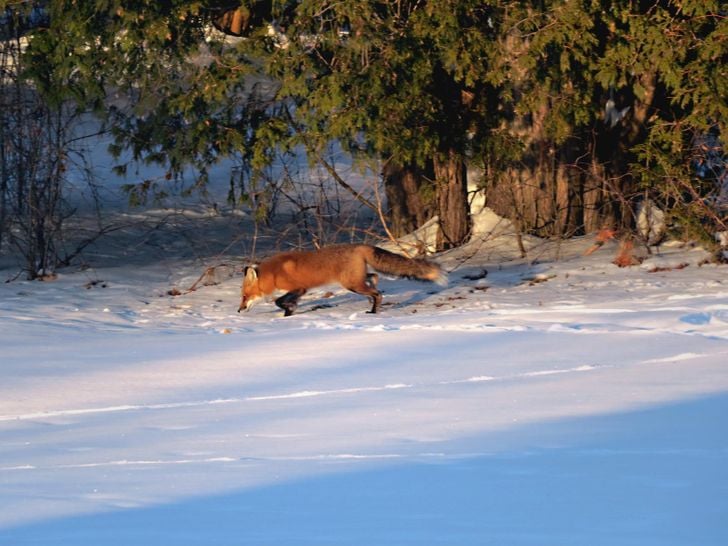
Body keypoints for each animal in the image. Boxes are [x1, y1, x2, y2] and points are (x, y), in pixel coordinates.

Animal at [239, 243, 444, 314]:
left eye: (244, 296)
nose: (239, 310)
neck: (274, 273)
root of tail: (359, 246)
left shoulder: (299, 288)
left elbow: (279, 301)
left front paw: (287, 311)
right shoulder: (300, 291)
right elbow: (286, 302)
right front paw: (290, 312)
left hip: (351, 284)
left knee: (377, 293)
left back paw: (373, 311)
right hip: (356, 280)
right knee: (374, 277)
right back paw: (371, 299)